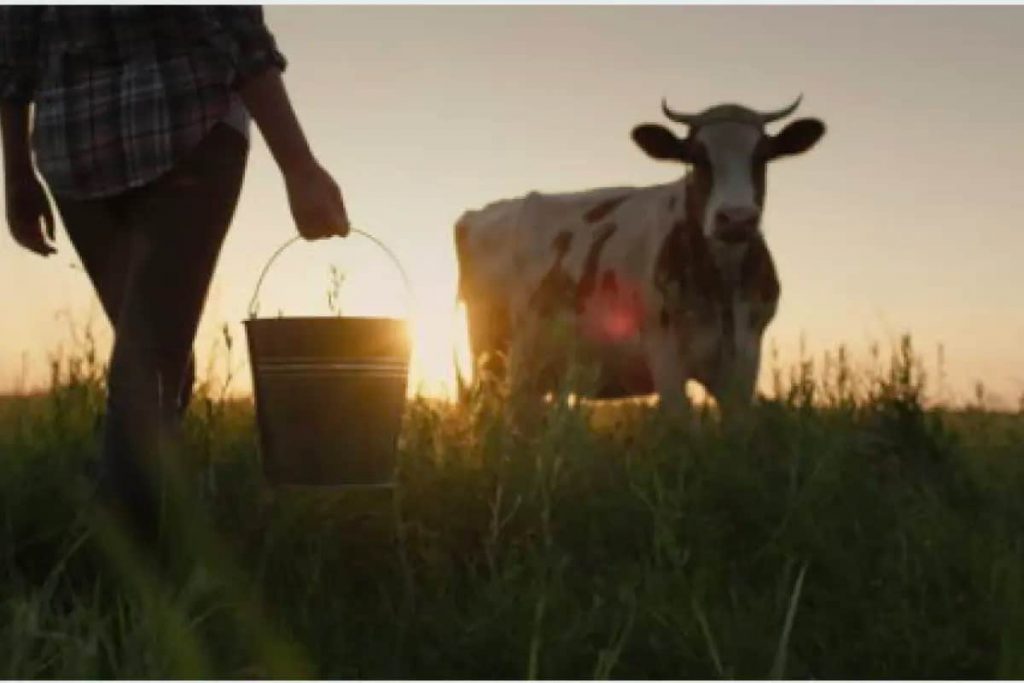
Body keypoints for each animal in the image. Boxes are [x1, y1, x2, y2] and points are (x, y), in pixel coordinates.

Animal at [454, 98, 823, 413]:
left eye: (763, 156)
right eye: (697, 158)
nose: (736, 218)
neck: (722, 284)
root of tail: (478, 214)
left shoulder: (744, 357)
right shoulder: (665, 352)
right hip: (494, 352)